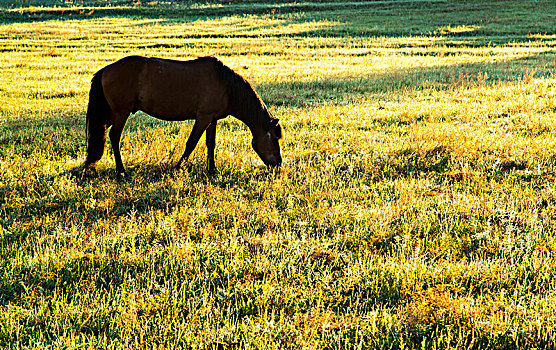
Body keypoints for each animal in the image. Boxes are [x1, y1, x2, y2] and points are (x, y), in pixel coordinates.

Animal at [83, 55, 282, 176]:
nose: (279, 165)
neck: (226, 86)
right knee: (114, 137)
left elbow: (211, 144)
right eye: (274, 139)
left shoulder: (212, 119)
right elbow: (191, 143)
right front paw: (178, 167)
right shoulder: (203, 118)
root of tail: (106, 70)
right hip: (121, 113)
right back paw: (121, 171)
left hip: (111, 115)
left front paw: (212, 170)